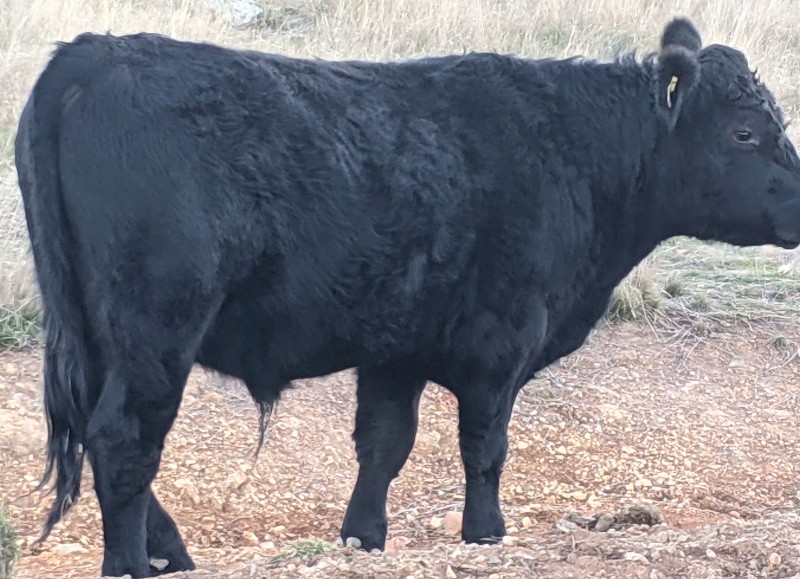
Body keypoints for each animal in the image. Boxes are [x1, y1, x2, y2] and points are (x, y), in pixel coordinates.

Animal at [14, 15, 800, 578]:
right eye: (744, 132)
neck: (571, 151)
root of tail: (93, 53)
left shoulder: (396, 348)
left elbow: (383, 444)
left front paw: (364, 536)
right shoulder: (503, 341)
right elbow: (484, 445)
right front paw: (486, 534)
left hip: (93, 331)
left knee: (101, 431)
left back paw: (170, 551)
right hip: (156, 327)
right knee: (124, 439)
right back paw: (131, 564)